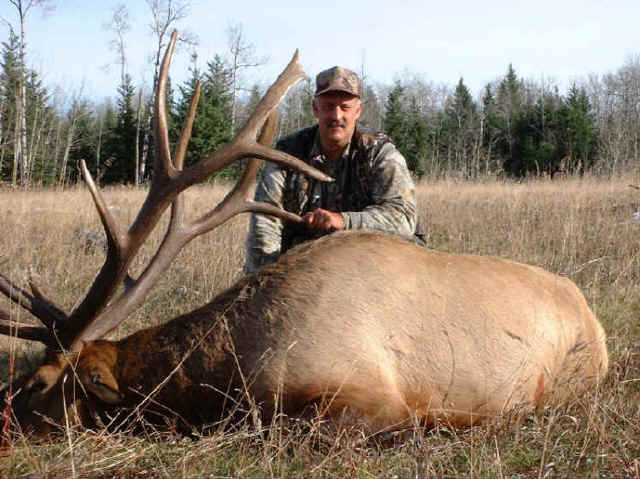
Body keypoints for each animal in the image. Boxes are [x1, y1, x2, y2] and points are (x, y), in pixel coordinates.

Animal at [0, 32, 608, 437]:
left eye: (38, 384)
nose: (5, 416)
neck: (235, 367)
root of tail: (593, 315)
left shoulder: (373, 400)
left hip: (573, 378)